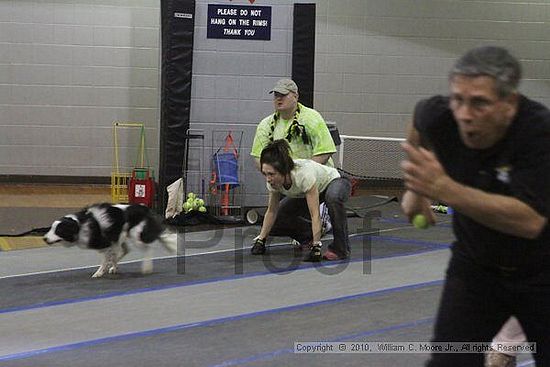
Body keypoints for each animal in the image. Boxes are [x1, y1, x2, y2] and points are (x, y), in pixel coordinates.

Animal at [44, 203, 176, 278]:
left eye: (58, 231)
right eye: (51, 228)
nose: (44, 238)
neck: (80, 225)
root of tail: (145, 208)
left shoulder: (106, 243)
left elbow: (105, 259)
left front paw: (99, 273)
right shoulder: (112, 242)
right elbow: (112, 256)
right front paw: (111, 267)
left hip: (135, 235)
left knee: (147, 248)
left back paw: (146, 268)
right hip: (123, 235)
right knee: (125, 250)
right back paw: (114, 267)